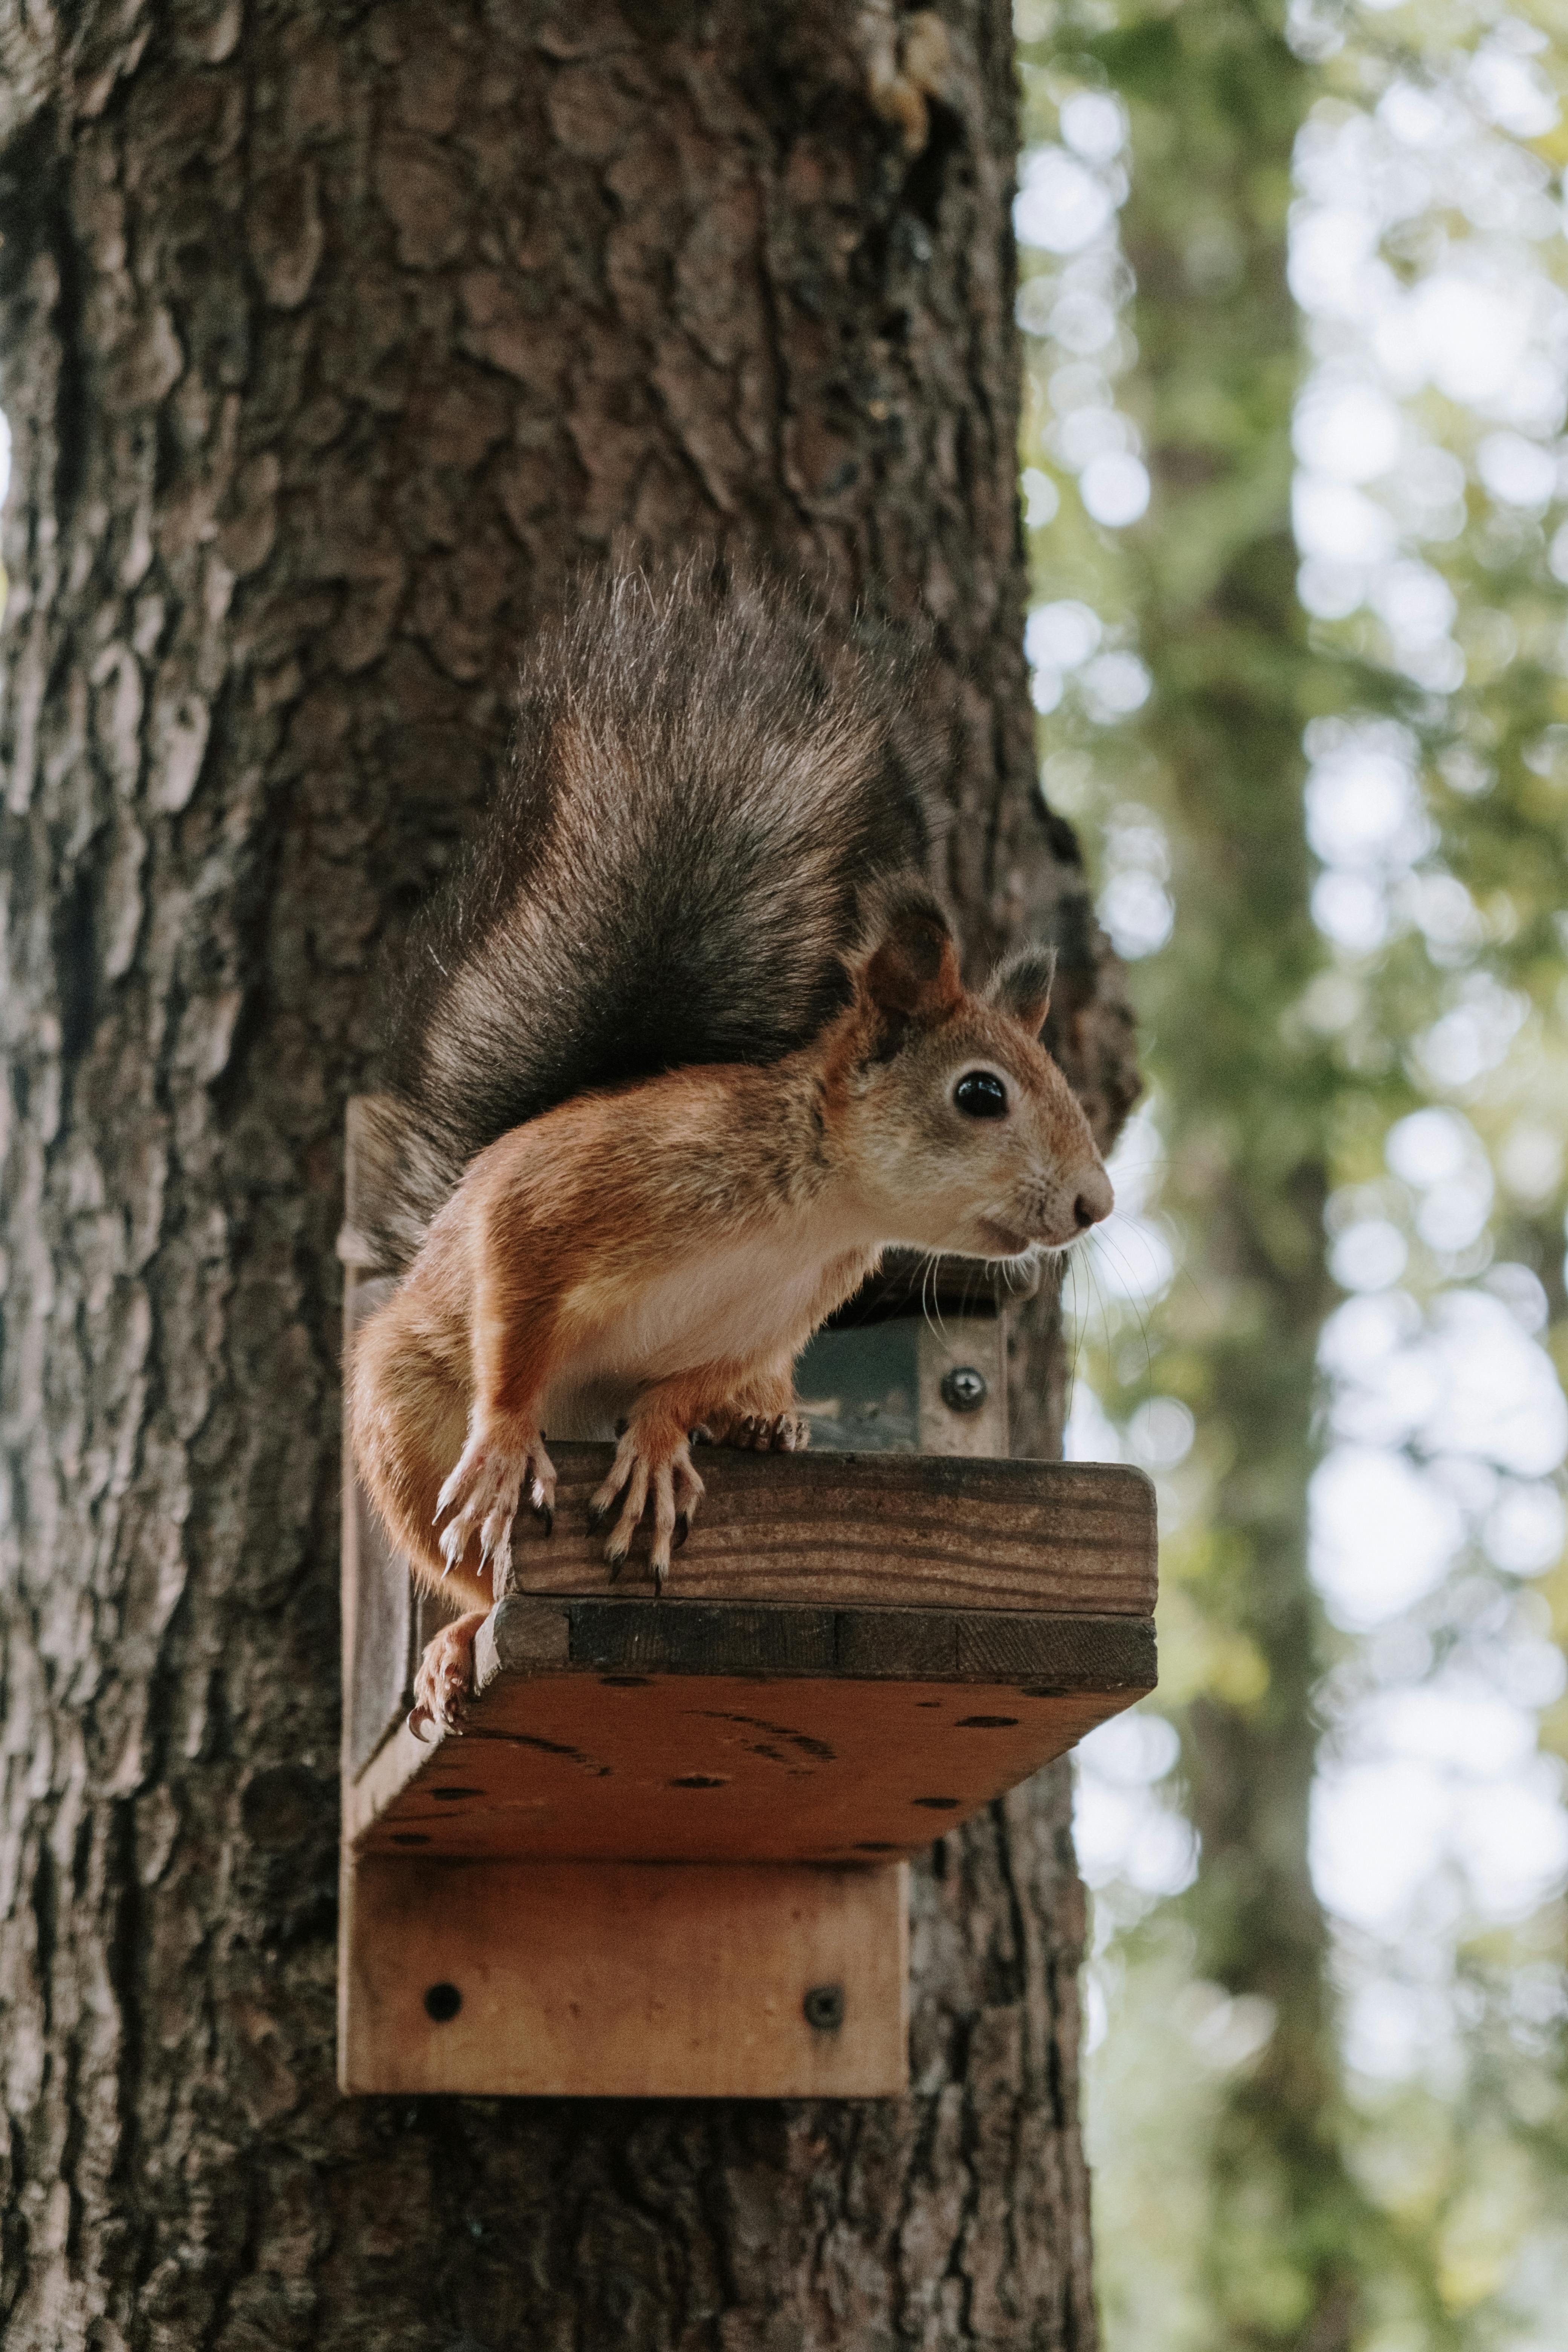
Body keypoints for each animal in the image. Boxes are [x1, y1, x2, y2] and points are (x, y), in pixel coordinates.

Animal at [347, 564, 1113, 1736]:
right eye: (980, 1094)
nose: (1094, 1204)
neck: (815, 1212)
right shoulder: (577, 1186)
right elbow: (516, 1283)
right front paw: (511, 1434)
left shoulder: (782, 1315)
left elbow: (694, 1381)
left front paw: (665, 1444)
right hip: (400, 1417)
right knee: (468, 1566)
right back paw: (460, 1638)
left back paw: (762, 1428)